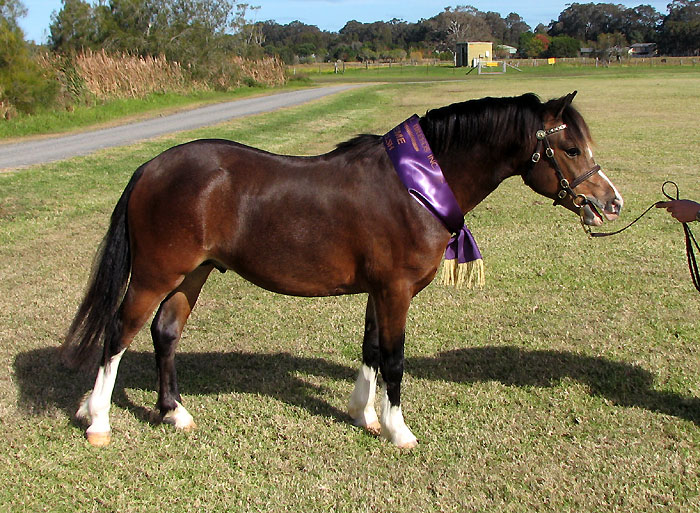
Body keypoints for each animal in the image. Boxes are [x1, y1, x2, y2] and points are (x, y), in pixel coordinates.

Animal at [63, 91, 623, 449]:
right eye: (571, 148)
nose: (611, 203)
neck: (415, 187)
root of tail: (150, 168)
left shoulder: (379, 290)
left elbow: (371, 349)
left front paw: (365, 415)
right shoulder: (396, 290)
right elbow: (393, 359)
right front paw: (400, 432)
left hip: (194, 273)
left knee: (165, 331)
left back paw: (174, 412)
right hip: (156, 274)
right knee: (118, 332)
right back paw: (98, 422)